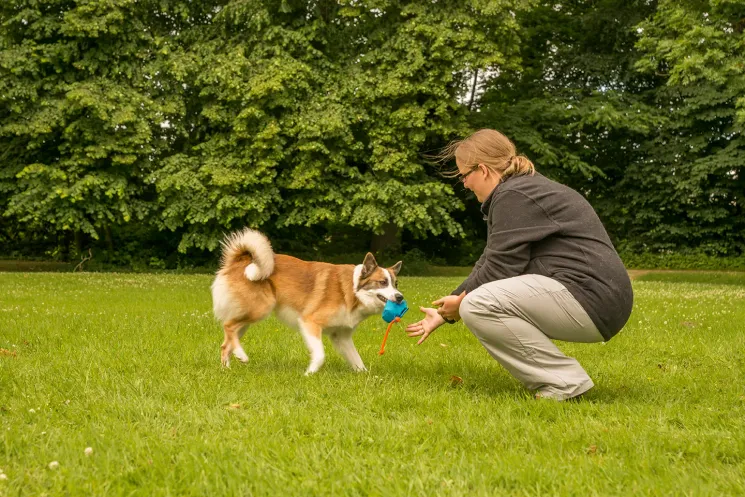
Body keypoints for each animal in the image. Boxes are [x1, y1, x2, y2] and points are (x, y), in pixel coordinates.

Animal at [209, 229, 404, 372]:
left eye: (396, 283)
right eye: (382, 282)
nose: (400, 297)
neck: (351, 291)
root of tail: (240, 260)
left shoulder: (342, 337)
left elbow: (358, 361)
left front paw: (366, 377)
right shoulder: (310, 322)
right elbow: (320, 355)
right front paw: (309, 373)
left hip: (246, 319)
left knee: (226, 342)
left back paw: (227, 369)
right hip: (259, 309)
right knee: (228, 326)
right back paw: (241, 355)